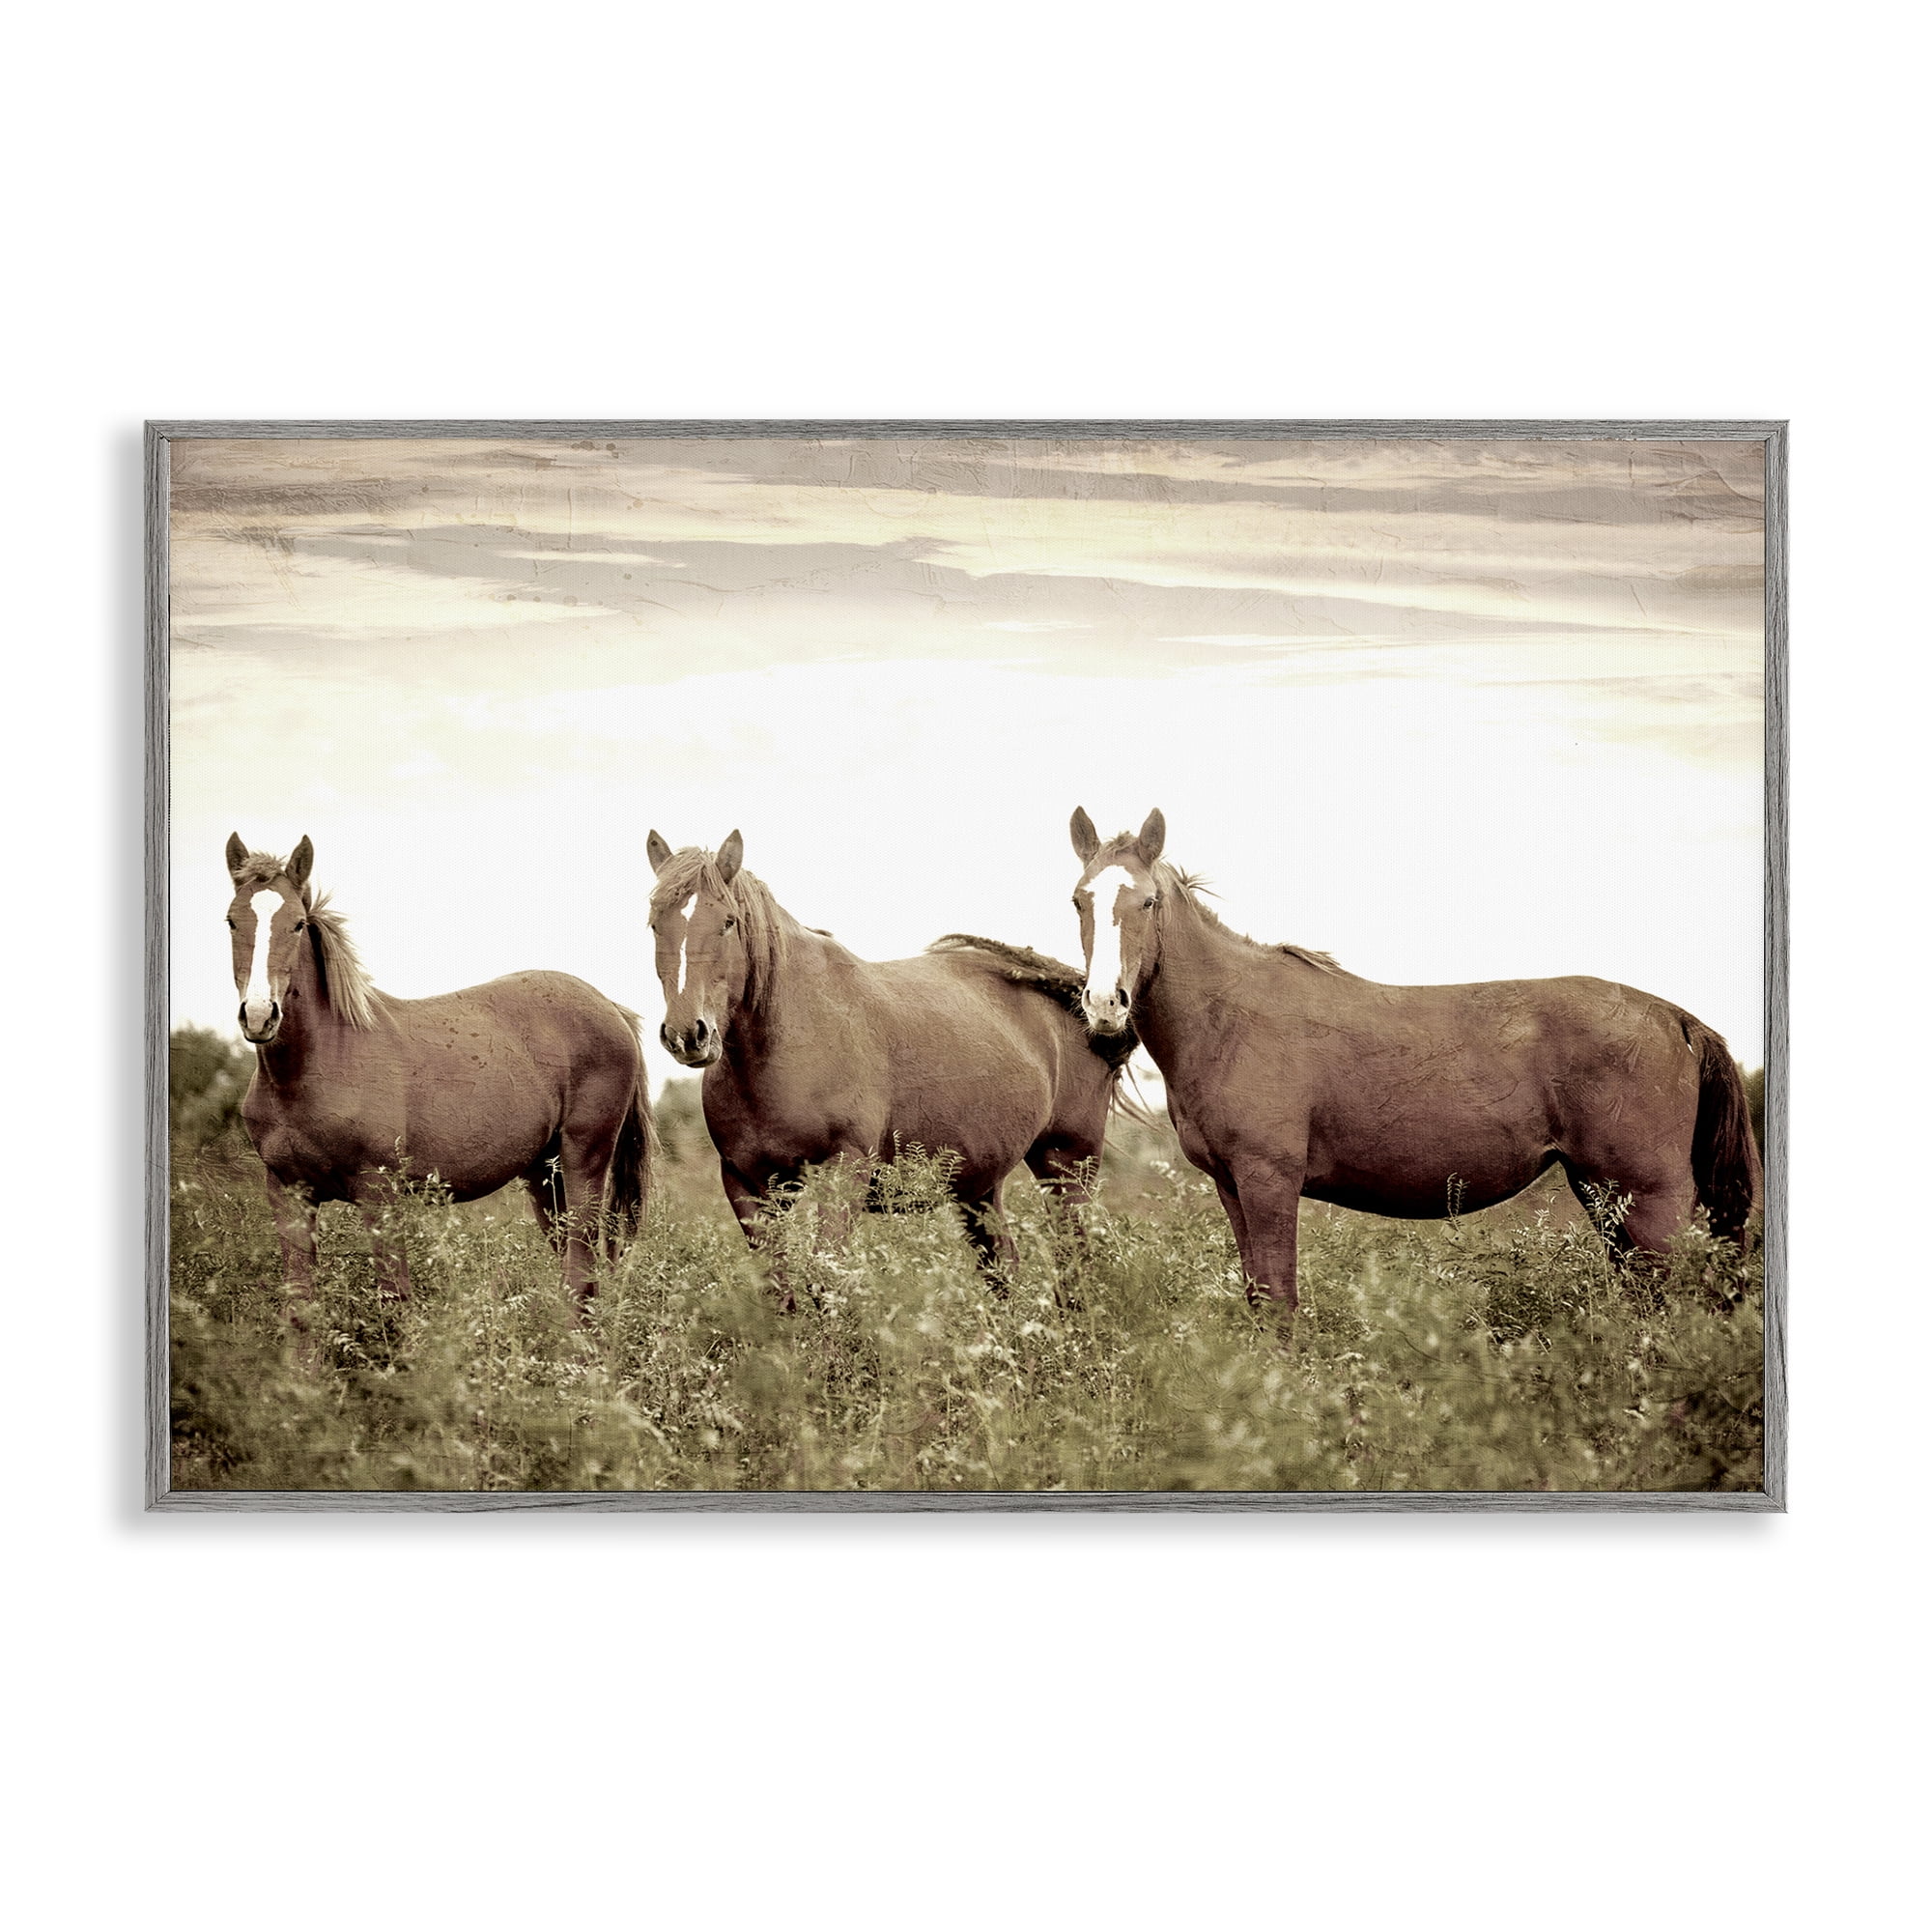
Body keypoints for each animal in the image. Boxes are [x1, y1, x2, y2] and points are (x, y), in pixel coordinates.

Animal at [220, 834, 654, 1313]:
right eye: (231, 922)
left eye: (297, 924)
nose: (259, 1015)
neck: (312, 1069)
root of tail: (610, 1007)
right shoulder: (289, 1195)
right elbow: (300, 1307)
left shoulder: (380, 1195)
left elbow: (395, 1302)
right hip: (544, 1174)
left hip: (583, 1163)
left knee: (581, 1269)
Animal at [644, 828, 1134, 1292]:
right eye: (653, 922)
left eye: (727, 921)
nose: (688, 1034)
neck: (786, 1041)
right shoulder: (748, 1186)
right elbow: (779, 1288)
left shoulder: (843, 1173)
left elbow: (826, 1281)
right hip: (979, 1186)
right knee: (1002, 1267)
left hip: (1066, 1168)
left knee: (1075, 1259)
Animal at [1065, 808, 1762, 1309]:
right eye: (1079, 900)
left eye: (1147, 902)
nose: (1104, 1003)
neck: (1229, 1018)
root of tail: (1677, 1019)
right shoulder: (1232, 1186)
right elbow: (1260, 1299)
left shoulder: (1269, 1182)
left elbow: (1281, 1302)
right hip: (1605, 1196)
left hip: (1649, 1199)